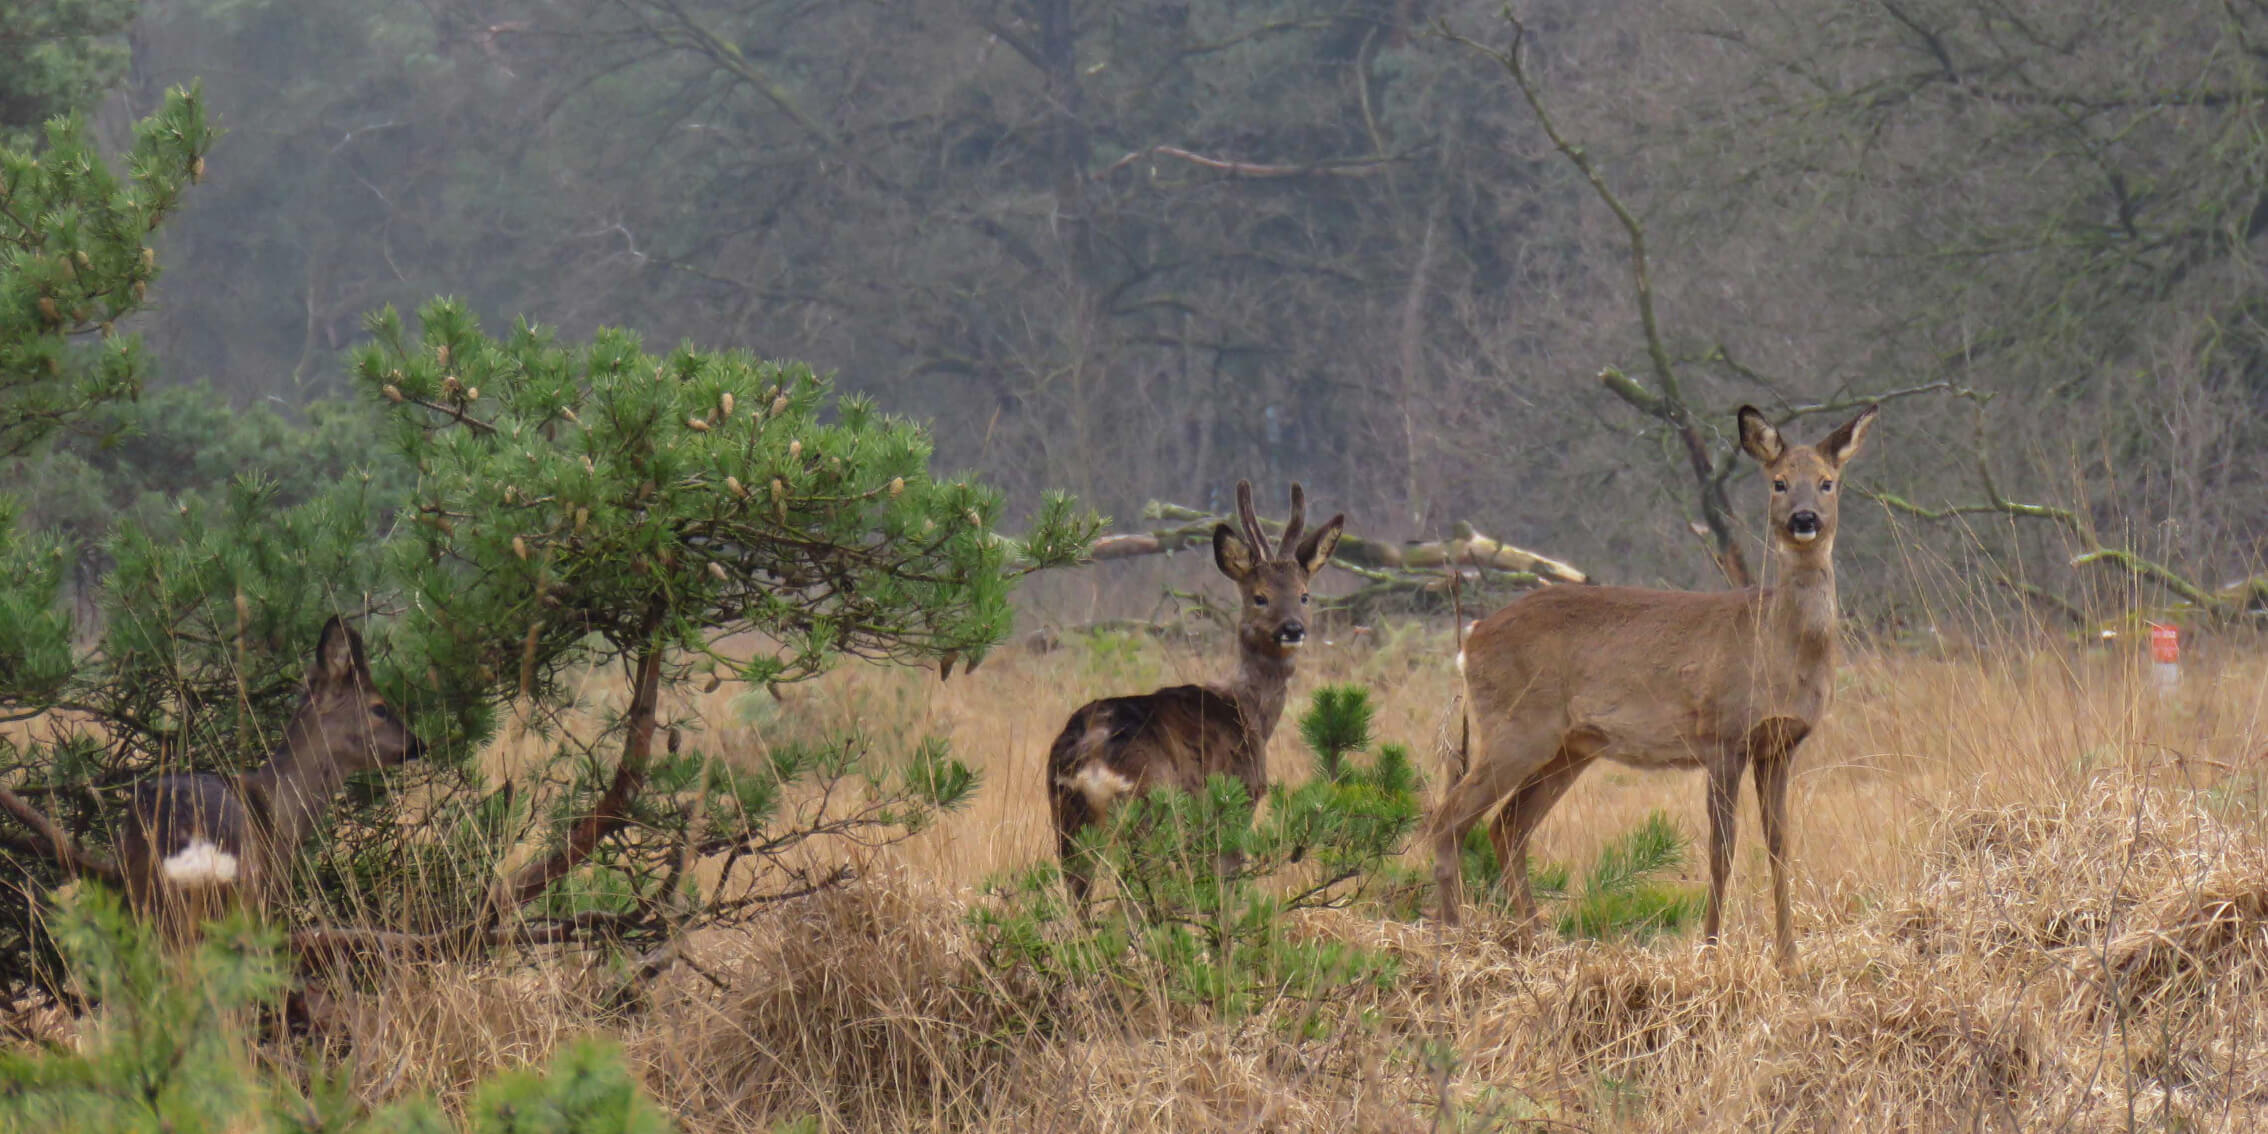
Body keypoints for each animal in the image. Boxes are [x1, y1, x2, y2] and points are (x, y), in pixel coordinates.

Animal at [1047, 476, 1342, 893]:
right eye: (1260, 597)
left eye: (1304, 595)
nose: (1292, 629)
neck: (1249, 713)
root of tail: (1091, 753)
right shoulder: (1234, 801)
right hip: (1148, 811)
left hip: (1065, 820)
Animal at [1433, 403, 1877, 961]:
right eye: (1778, 482)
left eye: (1827, 482)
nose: (1804, 519)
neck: (1777, 647)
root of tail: (1471, 637)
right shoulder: (1722, 735)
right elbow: (1722, 848)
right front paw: (1711, 948)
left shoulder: (1781, 744)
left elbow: (1779, 845)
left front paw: (1788, 957)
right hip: (1516, 726)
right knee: (1450, 817)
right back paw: (1452, 935)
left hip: (1569, 746)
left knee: (1507, 825)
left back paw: (1534, 939)